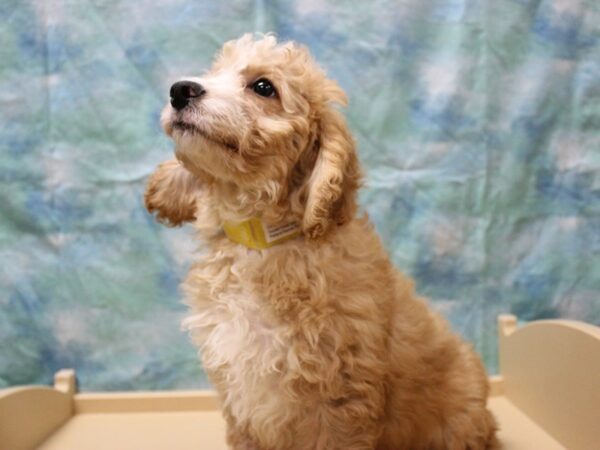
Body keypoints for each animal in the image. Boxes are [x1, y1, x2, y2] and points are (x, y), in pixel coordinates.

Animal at [145, 33, 496, 448]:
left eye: (264, 87)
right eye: (214, 71)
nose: (180, 90)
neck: (259, 241)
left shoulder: (341, 400)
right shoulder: (239, 399)